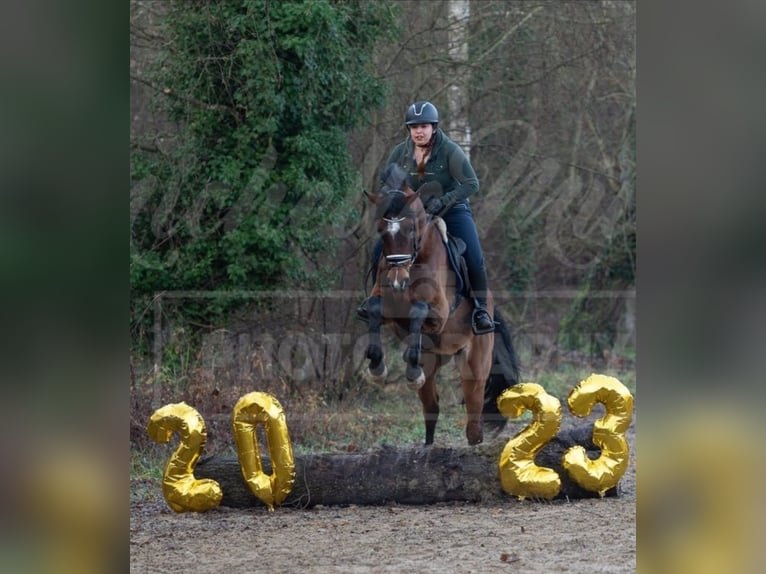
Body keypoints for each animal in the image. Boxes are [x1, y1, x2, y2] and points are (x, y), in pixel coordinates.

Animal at [364, 173, 520, 448]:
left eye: (411, 229)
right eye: (381, 232)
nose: (397, 281)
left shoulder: (439, 314)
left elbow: (418, 310)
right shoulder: (387, 310)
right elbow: (374, 308)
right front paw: (377, 368)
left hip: (475, 364)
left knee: (474, 418)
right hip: (432, 362)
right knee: (431, 407)